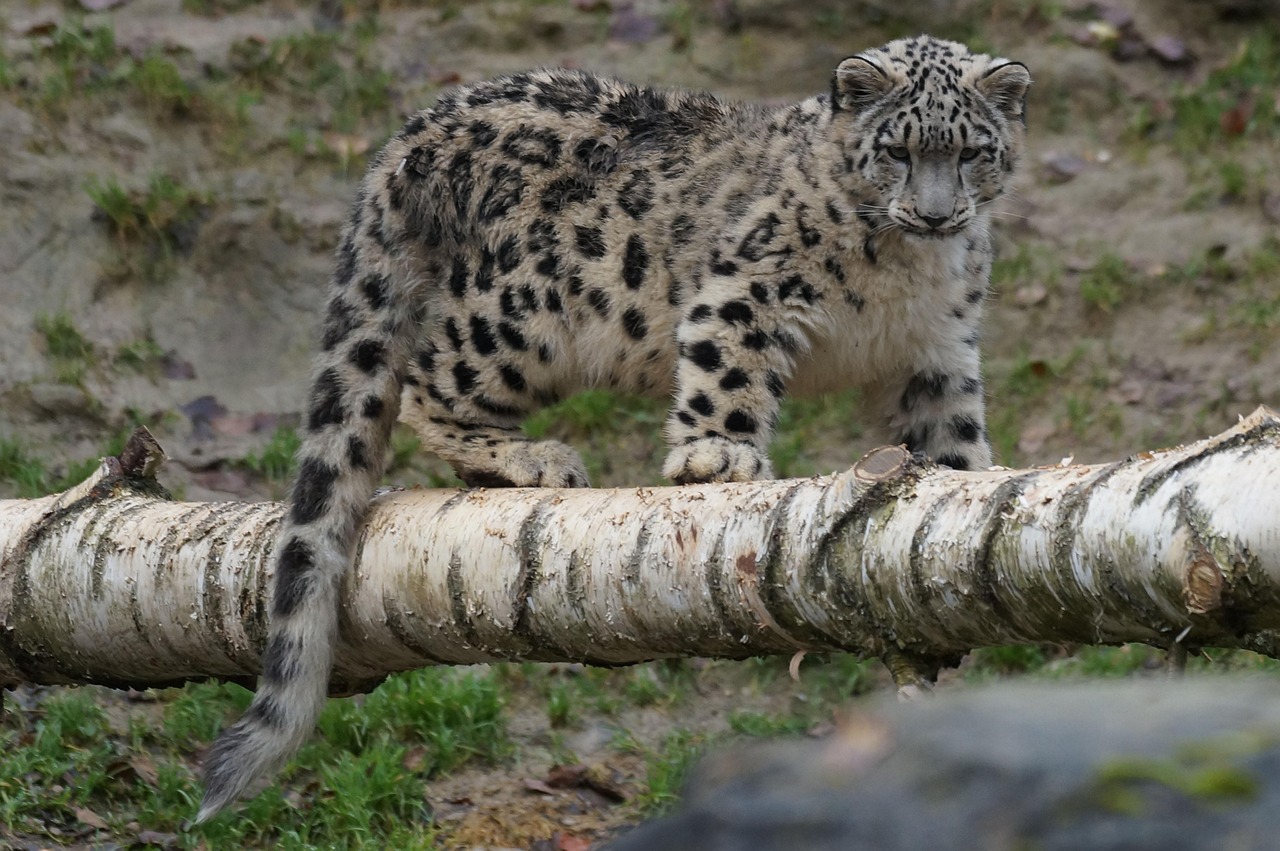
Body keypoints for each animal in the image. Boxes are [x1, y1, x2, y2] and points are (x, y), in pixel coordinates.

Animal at [198, 34, 1031, 820]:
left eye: (971, 151)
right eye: (897, 150)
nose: (935, 213)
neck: (908, 274)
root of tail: (413, 134)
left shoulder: (937, 350)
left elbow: (951, 427)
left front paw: (965, 484)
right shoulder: (745, 290)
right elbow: (727, 371)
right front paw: (716, 459)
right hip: (526, 312)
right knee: (427, 379)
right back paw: (529, 457)